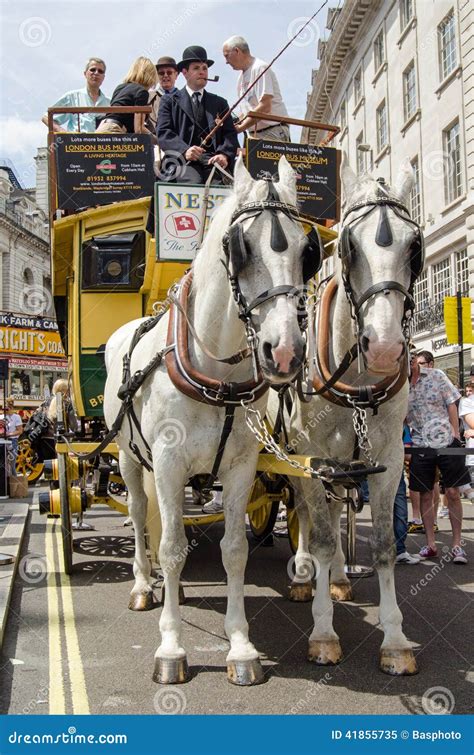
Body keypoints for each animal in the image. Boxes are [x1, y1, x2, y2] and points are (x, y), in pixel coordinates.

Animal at [103, 157, 318, 688]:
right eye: (241, 248)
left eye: (307, 252)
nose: (285, 351)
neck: (217, 374)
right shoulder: (168, 463)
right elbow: (172, 548)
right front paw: (171, 647)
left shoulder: (240, 467)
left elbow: (235, 549)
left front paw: (241, 648)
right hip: (130, 459)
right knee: (140, 514)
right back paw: (144, 584)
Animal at [284, 157, 424, 676]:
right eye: (347, 245)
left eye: (414, 246)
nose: (383, 349)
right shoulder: (308, 455)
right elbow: (323, 537)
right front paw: (323, 633)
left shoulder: (389, 460)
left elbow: (384, 544)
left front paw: (396, 640)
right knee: (306, 514)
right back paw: (305, 577)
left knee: (330, 506)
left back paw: (339, 578)